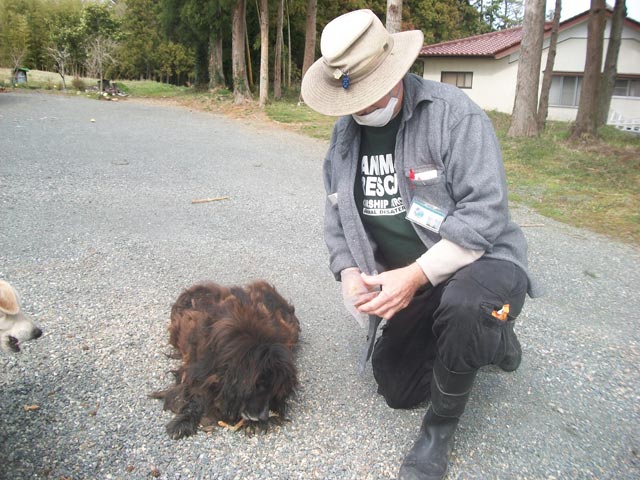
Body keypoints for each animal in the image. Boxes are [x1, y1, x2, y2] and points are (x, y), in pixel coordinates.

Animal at [151, 280, 302, 440]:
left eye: (273, 389)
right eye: (259, 385)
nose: (263, 417)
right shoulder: (196, 371)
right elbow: (195, 395)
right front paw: (183, 421)